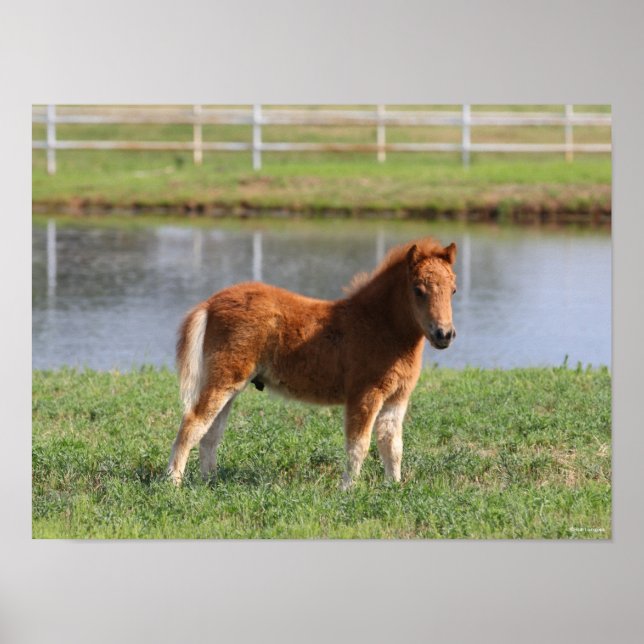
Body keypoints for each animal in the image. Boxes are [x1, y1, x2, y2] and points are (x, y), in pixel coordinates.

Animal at [167, 237, 457, 489]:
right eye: (418, 290)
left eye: (453, 290)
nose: (444, 334)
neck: (379, 326)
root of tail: (210, 302)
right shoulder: (365, 395)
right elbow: (358, 445)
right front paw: (347, 489)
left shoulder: (397, 397)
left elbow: (392, 445)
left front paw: (394, 487)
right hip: (224, 380)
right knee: (192, 424)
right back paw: (173, 483)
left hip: (230, 385)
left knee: (210, 434)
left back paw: (209, 483)